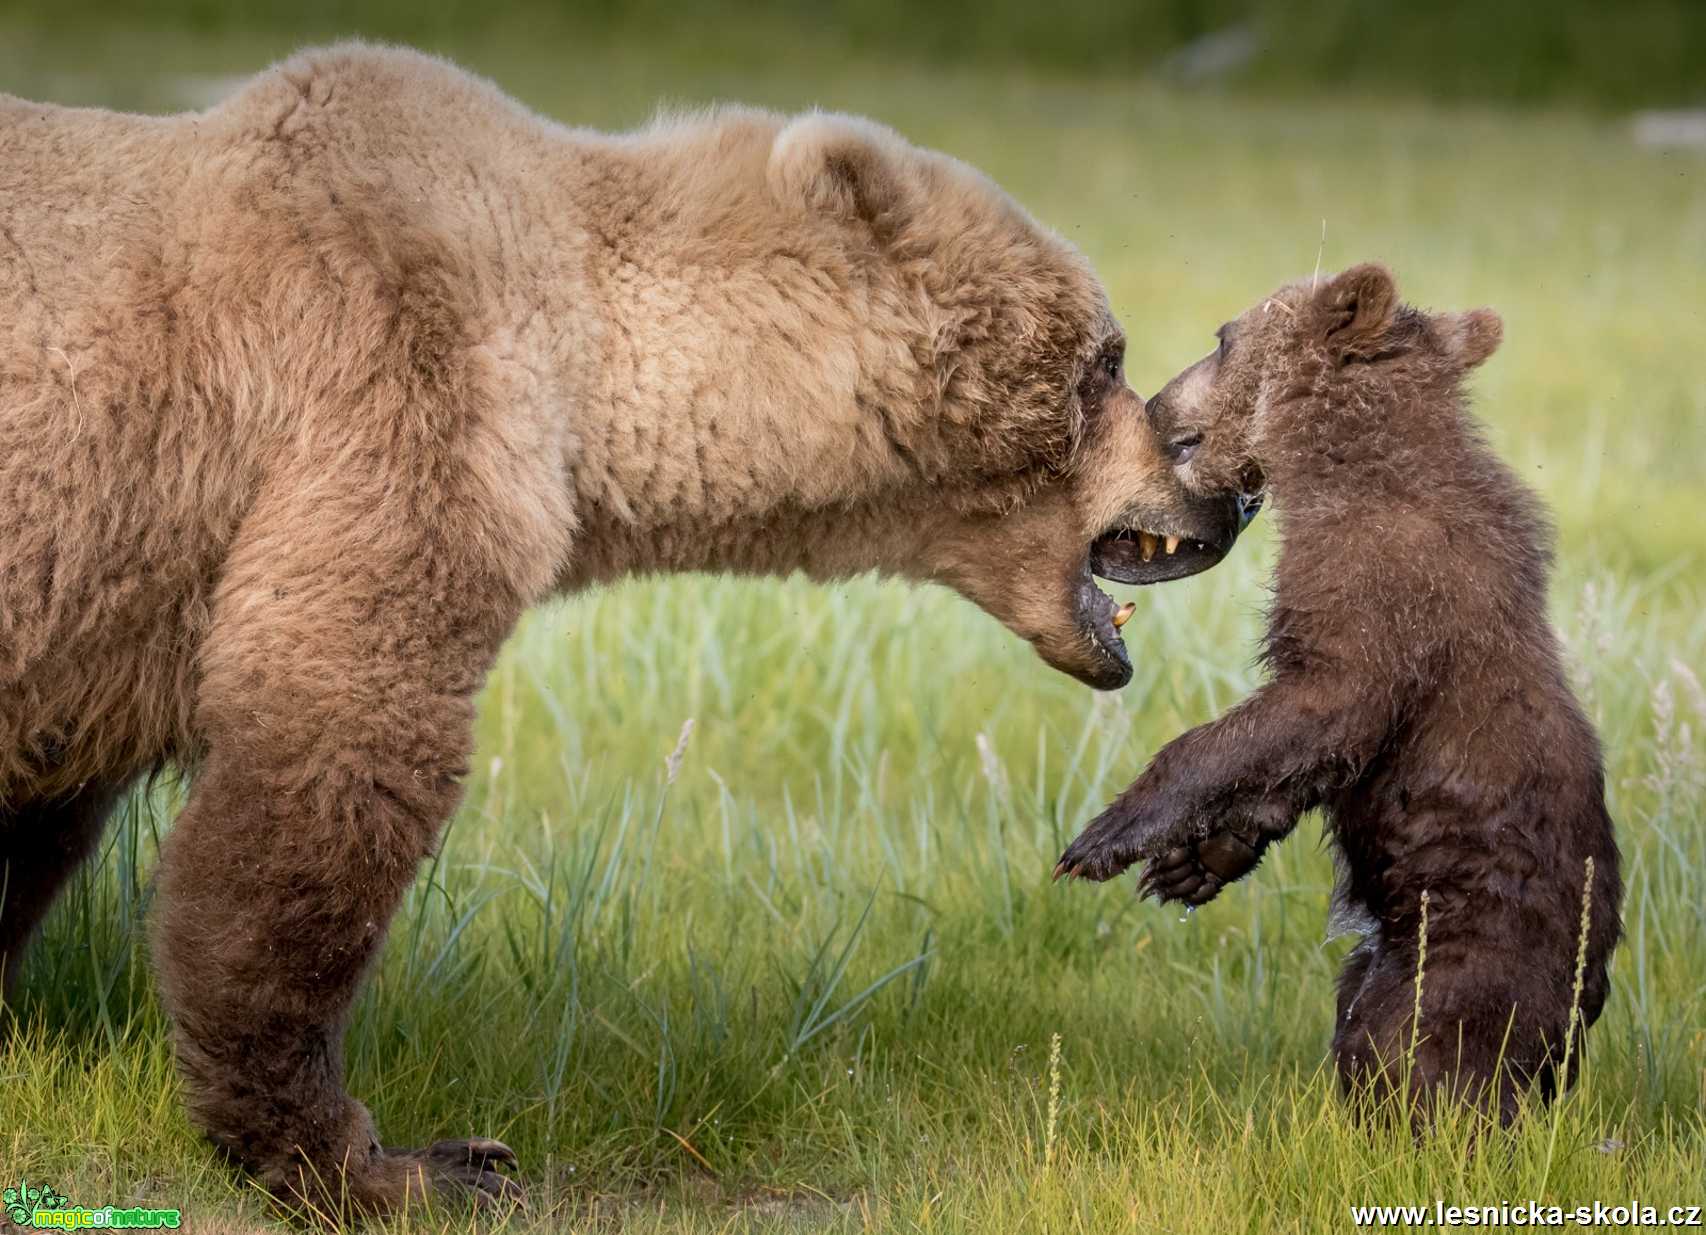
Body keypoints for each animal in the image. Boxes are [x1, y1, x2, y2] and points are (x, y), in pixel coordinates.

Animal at [0, 40, 1255, 1214]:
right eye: (1106, 358)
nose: (1225, 492)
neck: (594, 371)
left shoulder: (101, 615)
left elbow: (47, 811)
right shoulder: (394, 391)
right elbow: (329, 746)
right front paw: (404, 1160)